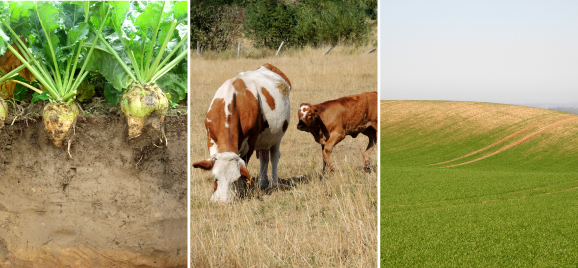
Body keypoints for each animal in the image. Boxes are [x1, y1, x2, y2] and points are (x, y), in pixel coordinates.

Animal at [194, 64, 292, 203]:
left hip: (277, 137)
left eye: (234, 180)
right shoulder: (210, 138)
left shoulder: (251, 141)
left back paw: (274, 183)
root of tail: (267, 66)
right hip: (264, 139)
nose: (222, 203)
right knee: (264, 158)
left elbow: (244, 164)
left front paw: (240, 189)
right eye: (215, 177)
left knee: (274, 156)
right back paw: (262, 182)